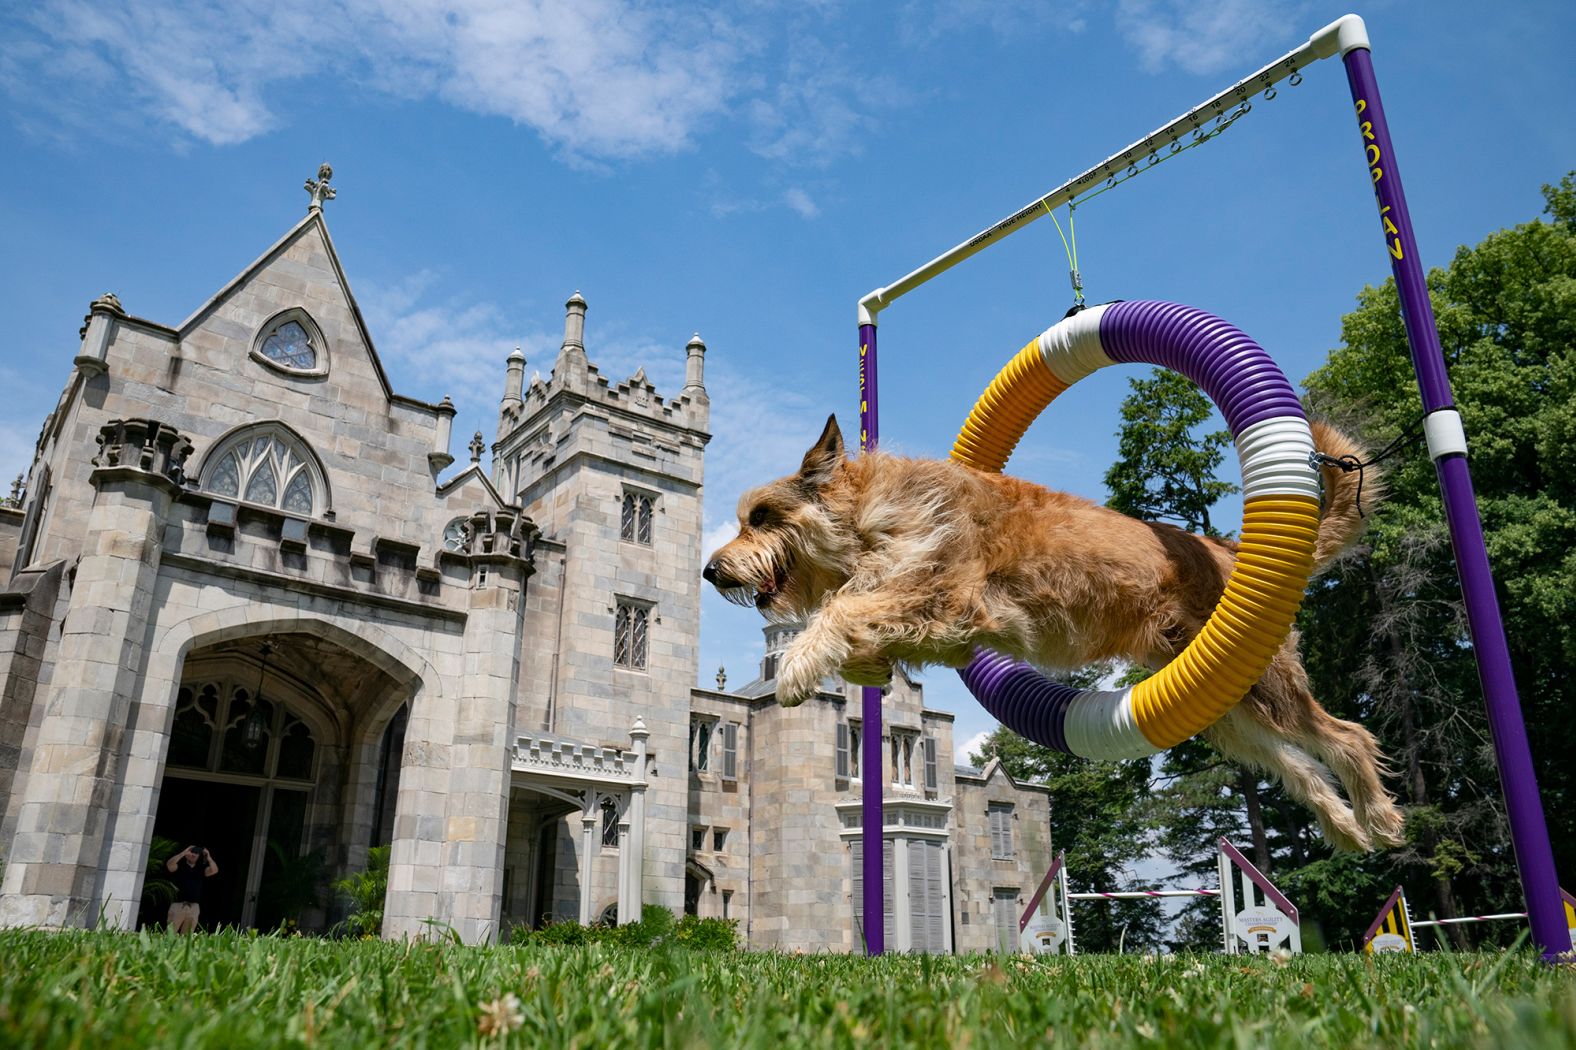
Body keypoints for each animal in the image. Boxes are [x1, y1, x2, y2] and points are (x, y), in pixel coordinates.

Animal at [702, 413, 1405, 845]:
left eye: (762, 517)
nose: (710, 570)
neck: (872, 515)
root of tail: (1230, 550)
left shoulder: (952, 600)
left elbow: (844, 608)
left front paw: (799, 667)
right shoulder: (948, 627)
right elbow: (861, 620)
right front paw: (861, 666)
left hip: (1268, 690)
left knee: (1347, 737)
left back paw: (1380, 818)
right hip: (1231, 712)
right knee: (1299, 766)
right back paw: (1344, 828)